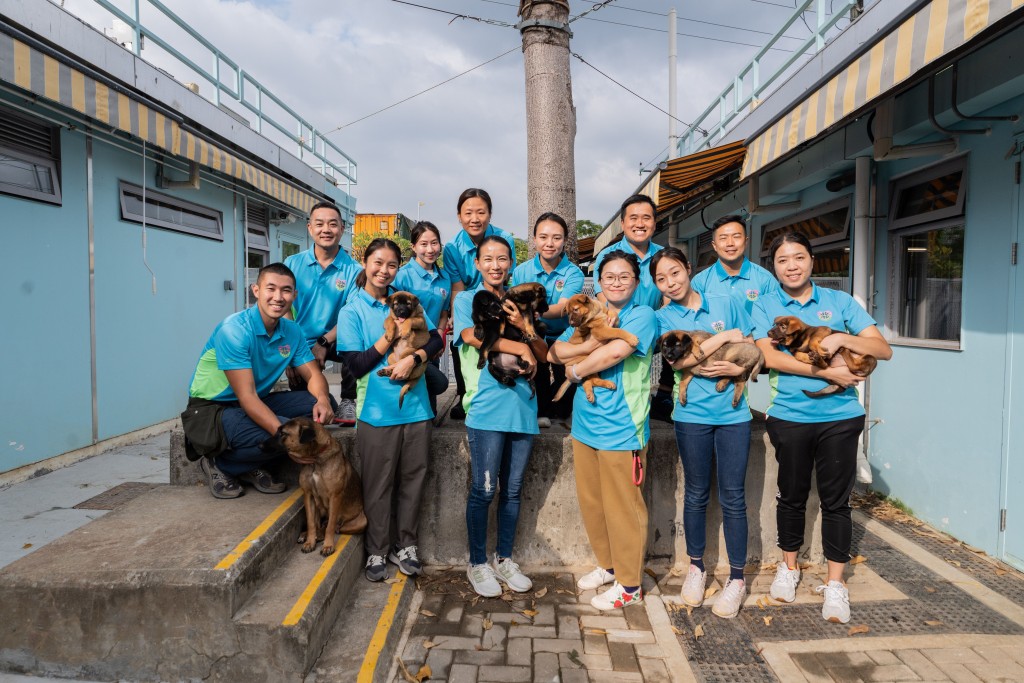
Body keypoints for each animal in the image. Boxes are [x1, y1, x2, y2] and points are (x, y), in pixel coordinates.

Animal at [262, 417, 366, 557]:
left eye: (283, 433)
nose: (260, 445)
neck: (315, 459)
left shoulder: (335, 497)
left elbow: (330, 526)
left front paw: (328, 545)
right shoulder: (309, 495)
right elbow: (311, 523)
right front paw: (310, 542)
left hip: (361, 522)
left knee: (332, 526)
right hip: (318, 507)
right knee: (318, 525)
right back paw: (307, 535)